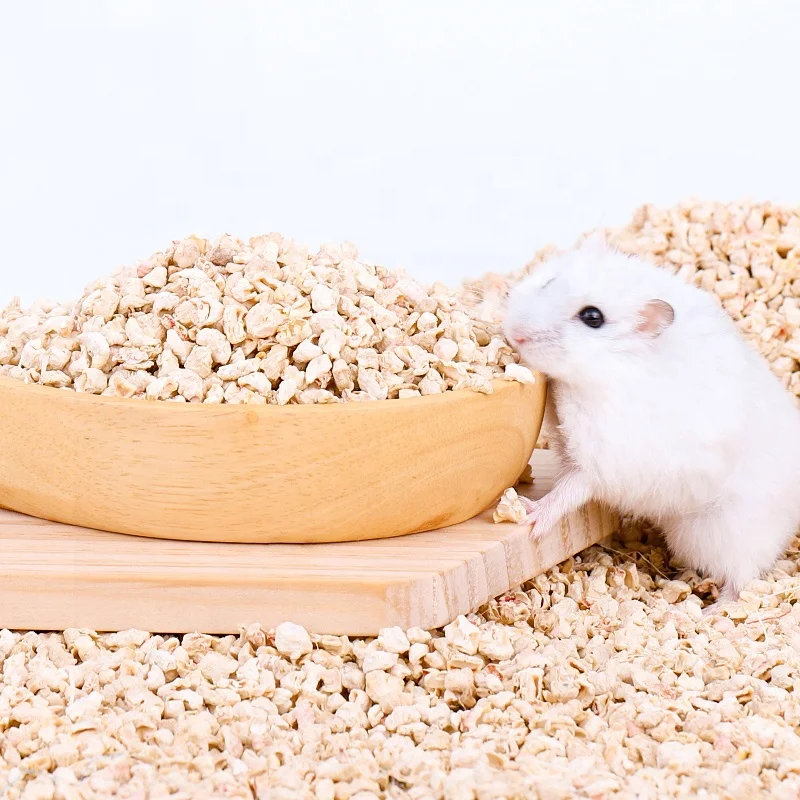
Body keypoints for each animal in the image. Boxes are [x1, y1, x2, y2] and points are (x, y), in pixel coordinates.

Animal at [503, 233, 800, 613]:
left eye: (592, 317)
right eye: (548, 282)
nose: (515, 334)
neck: (602, 373)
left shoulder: (604, 461)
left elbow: (569, 491)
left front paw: (529, 514)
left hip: (724, 532)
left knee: (743, 578)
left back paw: (709, 611)